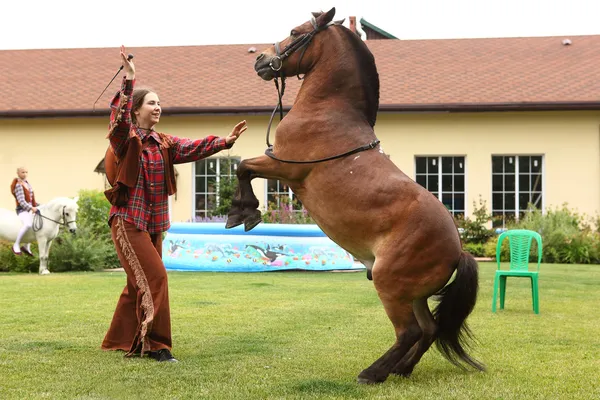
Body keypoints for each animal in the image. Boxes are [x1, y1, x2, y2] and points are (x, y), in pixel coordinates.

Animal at [227, 5, 486, 382]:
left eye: (295, 31)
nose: (261, 59)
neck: (327, 110)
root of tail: (458, 249)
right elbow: (244, 168)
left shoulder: (285, 167)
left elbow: (243, 167)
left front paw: (242, 212)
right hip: (413, 294)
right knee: (428, 330)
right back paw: (400, 370)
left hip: (390, 284)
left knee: (409, 331)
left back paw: (373, 372)